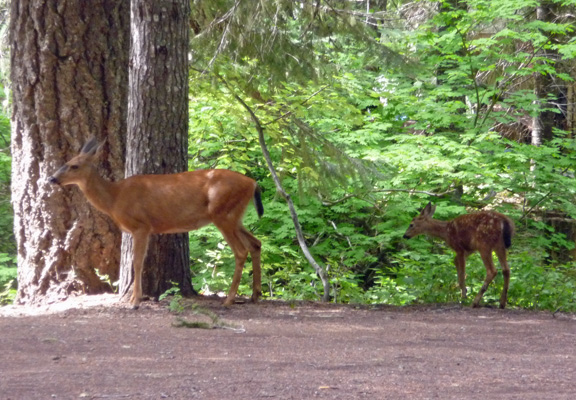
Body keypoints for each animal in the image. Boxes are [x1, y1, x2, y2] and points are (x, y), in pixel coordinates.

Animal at [49, 138, 264, 310]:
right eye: (66, 162)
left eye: (74, 165)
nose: (52, 178)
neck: (114, 198)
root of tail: (253, 183)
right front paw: (134, 299)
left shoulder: (141, 226)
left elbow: (137, 262)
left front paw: (135, 302)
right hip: (235, 217)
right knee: (256, 243)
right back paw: (255, 295)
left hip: (223, 214)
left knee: (241, 251)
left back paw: (229, 300)